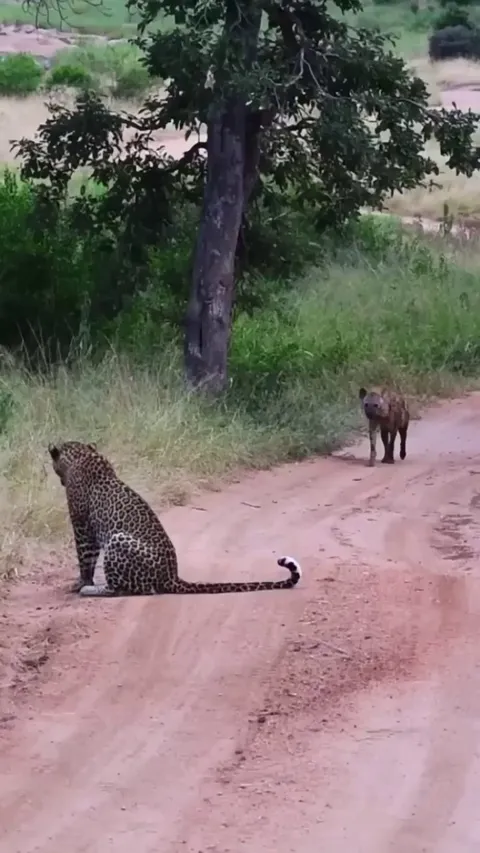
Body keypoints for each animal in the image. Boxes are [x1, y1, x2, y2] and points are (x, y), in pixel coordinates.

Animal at [48, 440, 302, 597]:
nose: (58, 479)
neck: (83, 454)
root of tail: (172, 577)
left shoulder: (82, 526)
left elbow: (85, 558)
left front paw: (82, 583)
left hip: (118, 539)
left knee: (128, 589)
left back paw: (94, 590)